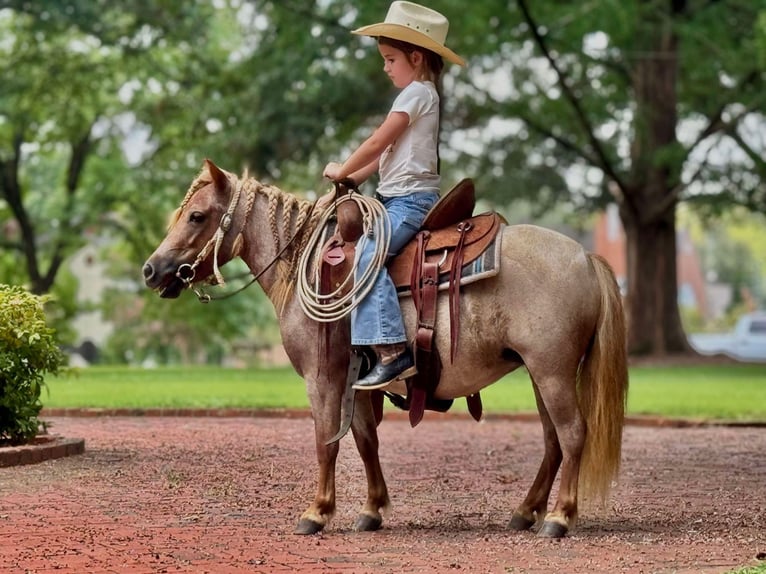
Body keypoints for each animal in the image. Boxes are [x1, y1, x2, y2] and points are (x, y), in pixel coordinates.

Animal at [144, 161, 632, 540]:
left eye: (196, 216)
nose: (151, 270)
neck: (305, 261)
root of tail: (585, 258)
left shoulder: (322, 376)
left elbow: (326, 441)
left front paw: (316, 512)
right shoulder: (357, 380)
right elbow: (364, 440)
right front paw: (371, 509)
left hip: (552, 370)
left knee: (572, 434)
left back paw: (559, 518)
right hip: (538, 372)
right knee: (553, 441)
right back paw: (525, 511)